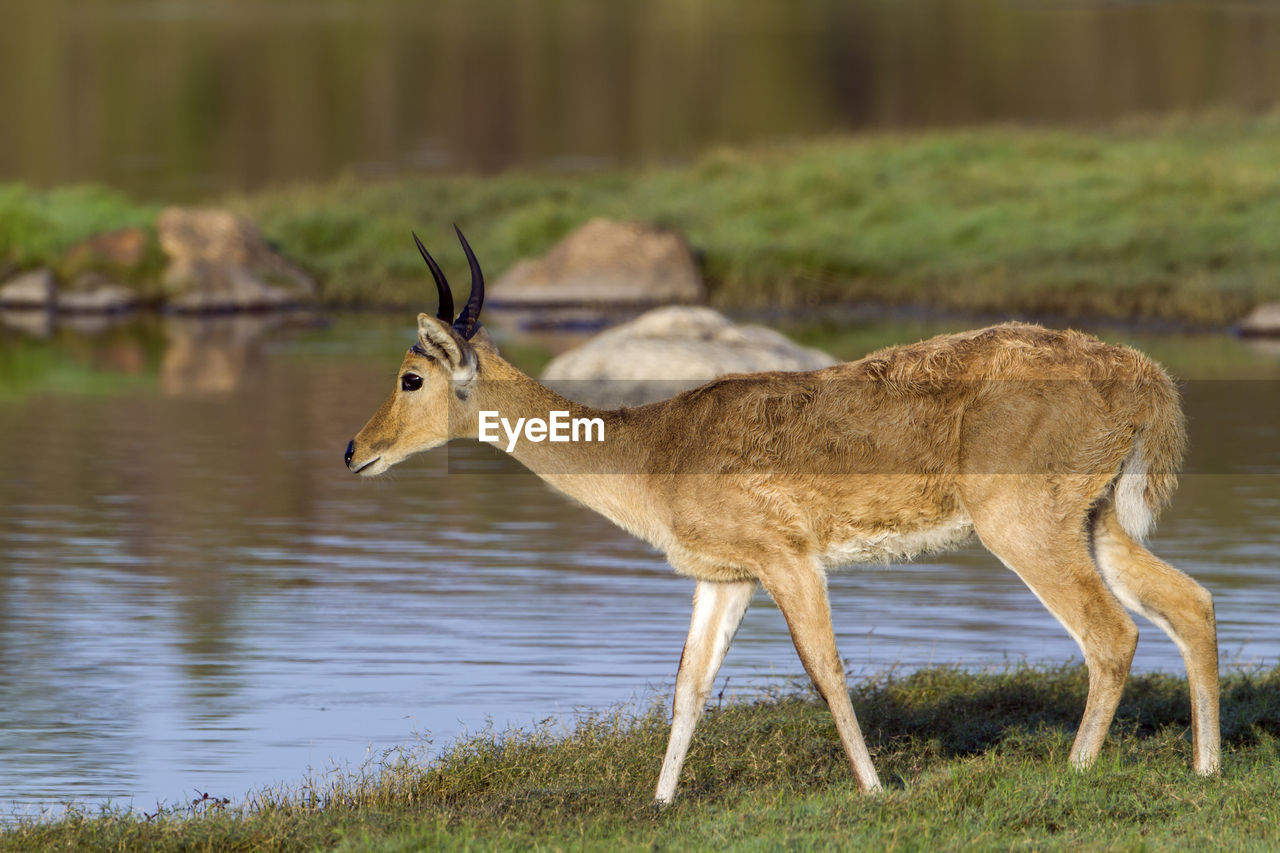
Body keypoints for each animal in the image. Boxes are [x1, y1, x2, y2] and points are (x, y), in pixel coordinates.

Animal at [348, 225, 1218, 799]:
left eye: (411, 377)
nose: (355, 450)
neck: (659, 448)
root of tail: (1143, 372)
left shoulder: (788, 560)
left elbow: (824, 670)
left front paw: (875, 791)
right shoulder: (724, 577)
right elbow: (689, 684)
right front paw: (659, 804)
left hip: (1025, 529)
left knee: (1111, 634)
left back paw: (1075, 769)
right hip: (1096, 521)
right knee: (1191, 602)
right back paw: (1208, 768)